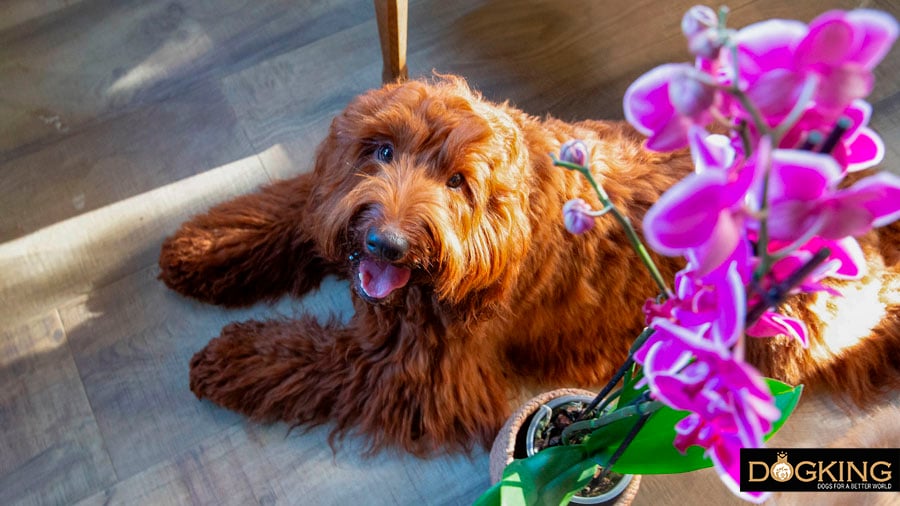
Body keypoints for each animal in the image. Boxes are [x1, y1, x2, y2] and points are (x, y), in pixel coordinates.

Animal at [160, 77, 900, 456]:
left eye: (457, 183)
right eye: (380, 150)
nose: (387, 245)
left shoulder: (415, 373)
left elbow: (306, 356)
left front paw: (229, 357)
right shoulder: (327, 203)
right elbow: (284, 212)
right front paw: (201, 249)